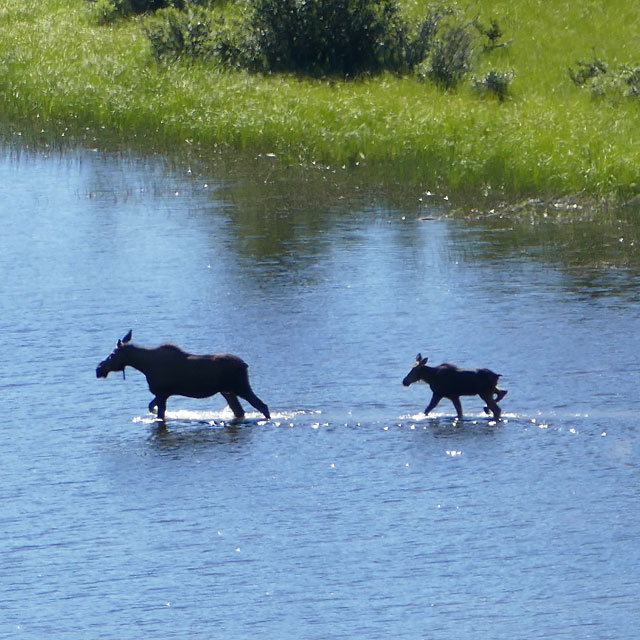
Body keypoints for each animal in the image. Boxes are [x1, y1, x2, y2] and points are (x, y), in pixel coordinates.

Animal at [96, 332, 272, 422]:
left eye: (112, 355)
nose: (99, 369)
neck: (144, 366)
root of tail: (245, 364)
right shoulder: (163, 394)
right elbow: (151, 407)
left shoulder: (162, 394)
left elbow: (157, 412)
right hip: (228, 391)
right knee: (240, 411)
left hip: (240, 387)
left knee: (262, 406)